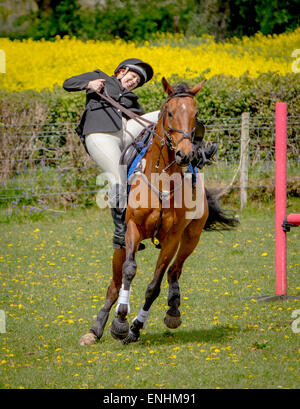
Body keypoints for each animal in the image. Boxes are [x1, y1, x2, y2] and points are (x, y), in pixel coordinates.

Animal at [78, 77, 238, 344]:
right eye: (170, 113)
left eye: (196, 115)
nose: (187, 155)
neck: (163, 180)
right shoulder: (133, 229)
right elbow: (129, 271)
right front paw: (120, 322)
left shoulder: (172, 239)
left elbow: (154, 285)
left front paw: (135, 327)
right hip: (121, 245)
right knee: (115, 284)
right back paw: (95, 330)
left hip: (191, 238)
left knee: (175, 270)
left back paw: (173, 309)